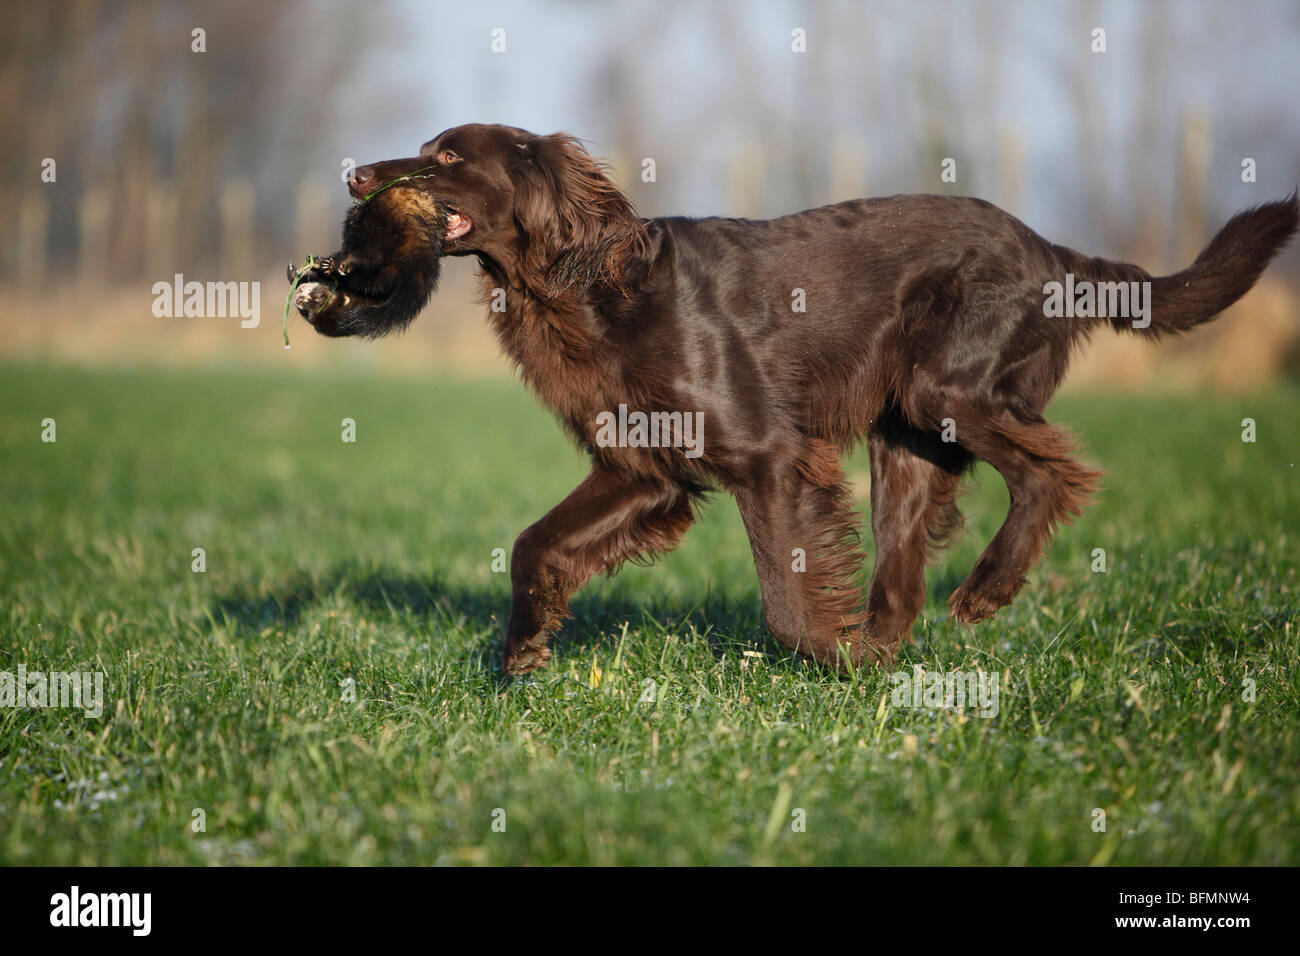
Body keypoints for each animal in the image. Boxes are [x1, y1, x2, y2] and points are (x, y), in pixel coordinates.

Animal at [295, 125, 1300, 671]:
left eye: (445, 155)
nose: (355, 176)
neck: (585, 283)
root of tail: (1054, 252)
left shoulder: (768, 457)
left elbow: (784, 600)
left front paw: (825, 660)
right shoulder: (640, 471)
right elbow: (533, 544)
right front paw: (521, 651)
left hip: (944, 389)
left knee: (1053, 472)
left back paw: (982, 592)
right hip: (907, 443)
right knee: (903, 578)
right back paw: (889, 659)